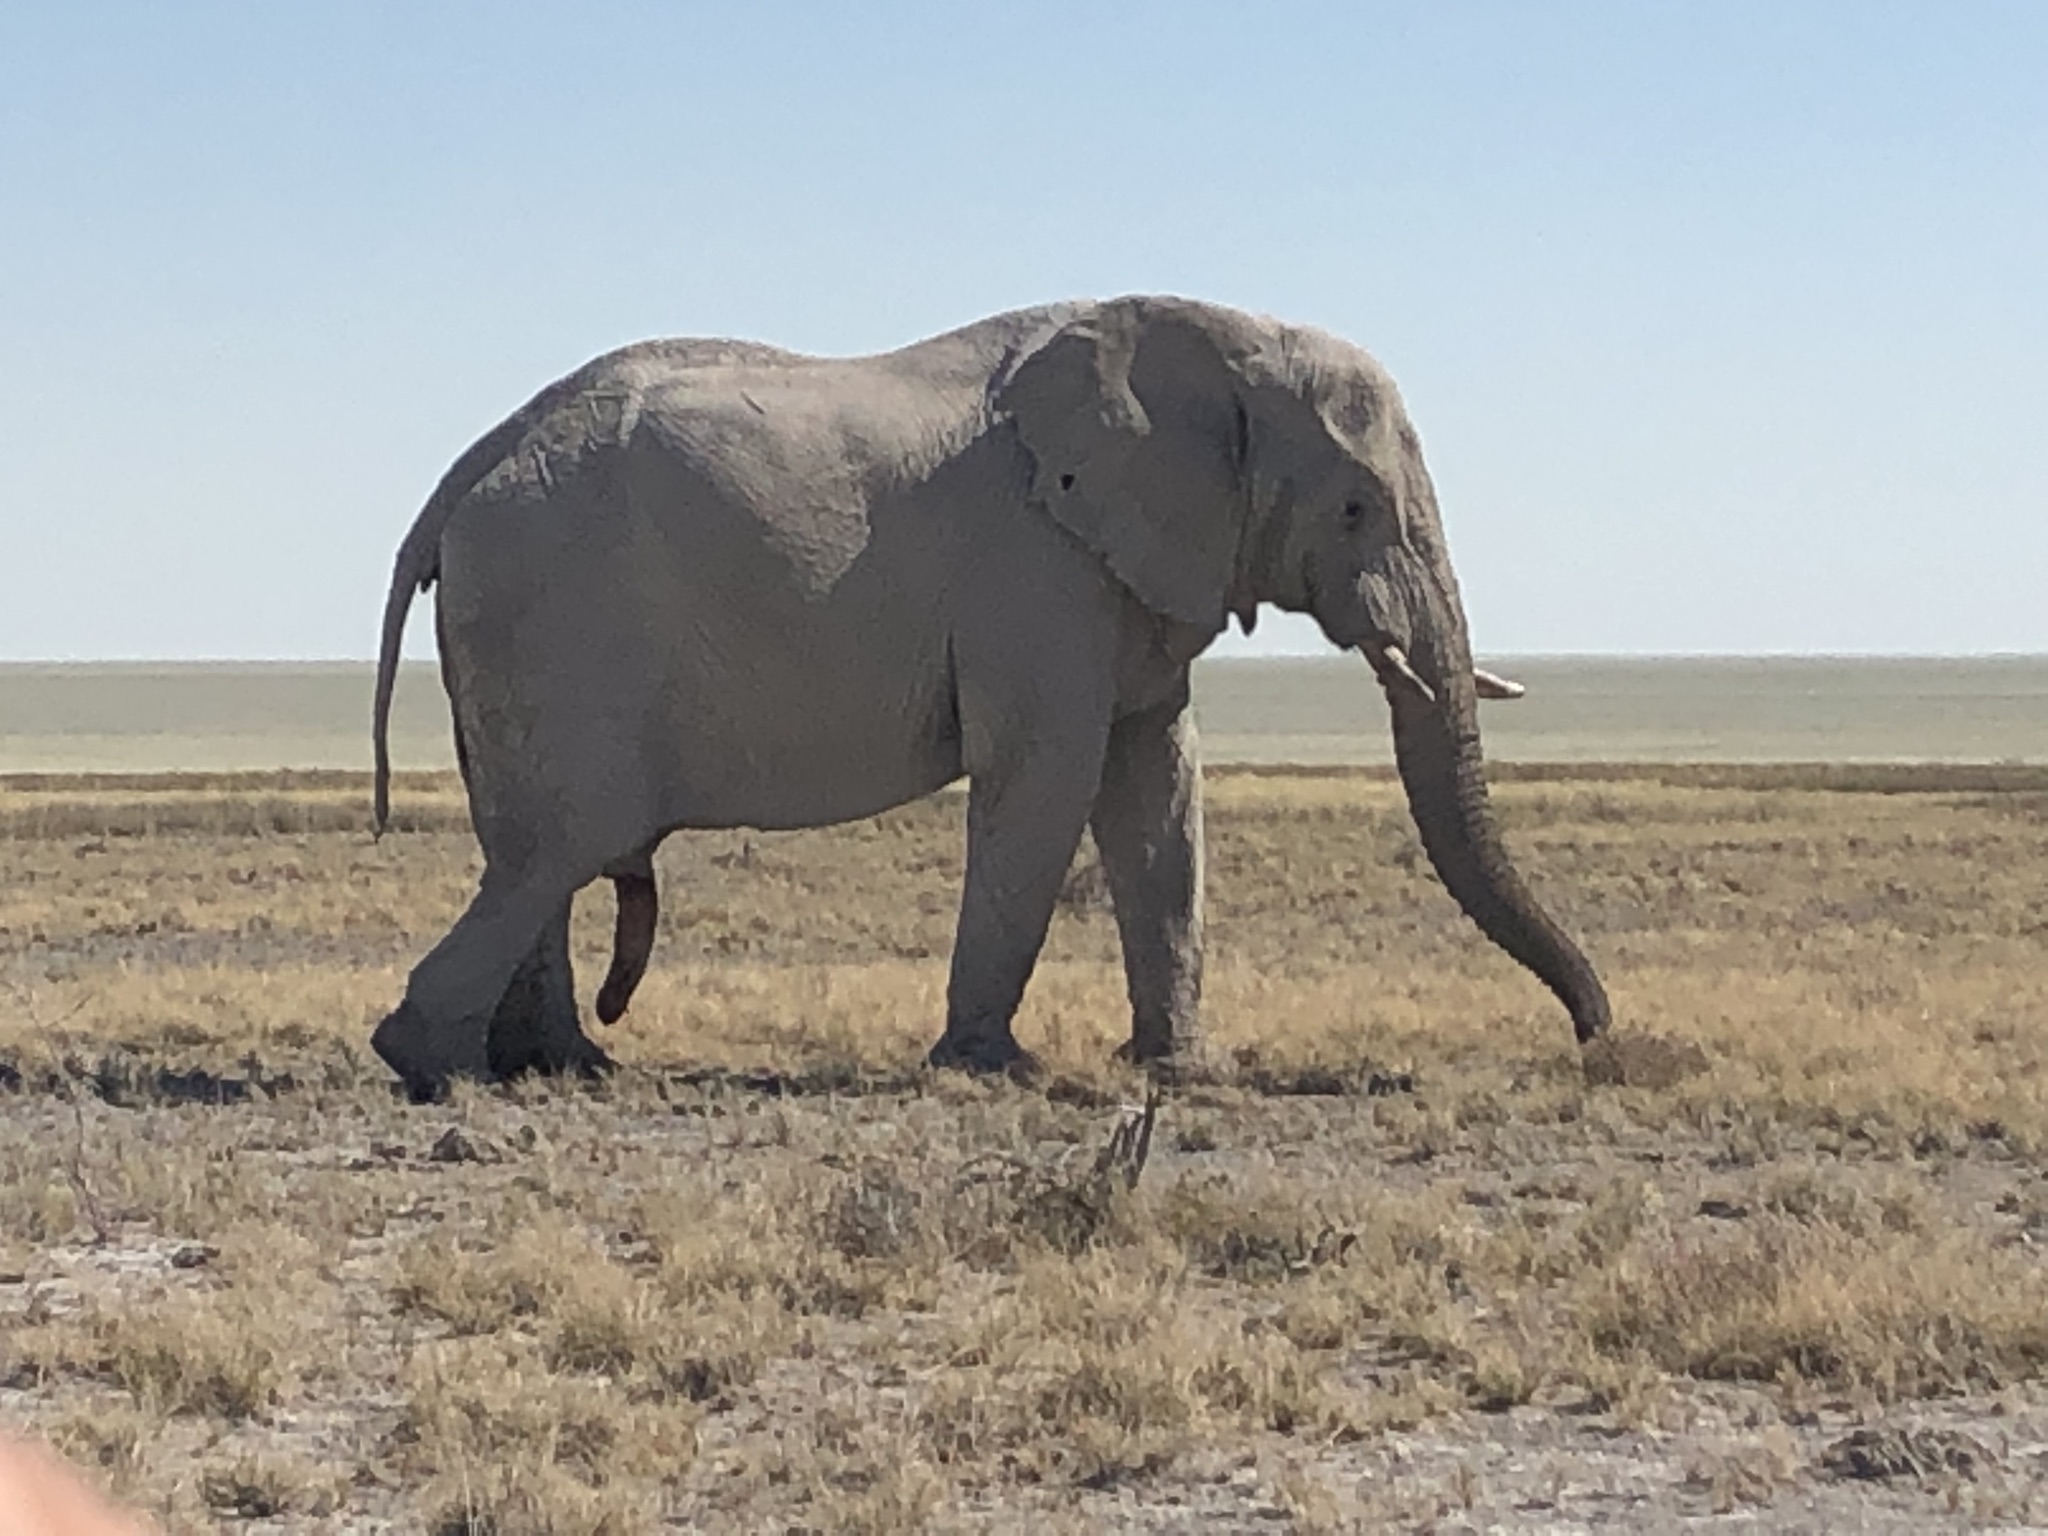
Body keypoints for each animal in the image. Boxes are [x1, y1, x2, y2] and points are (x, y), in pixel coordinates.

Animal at [368, 296, 1609, 1099]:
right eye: (1353, 510)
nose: (1591, 1043)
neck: (1218, 339)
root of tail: (467, 470)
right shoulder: (1036, 568)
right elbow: (1046, 777)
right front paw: (991, 1068)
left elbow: (1156, 792)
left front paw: (1184, 1071)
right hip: (550, 618)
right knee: (558, 847)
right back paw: (428, 1061)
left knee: (538, 857)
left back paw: (557, 1068)